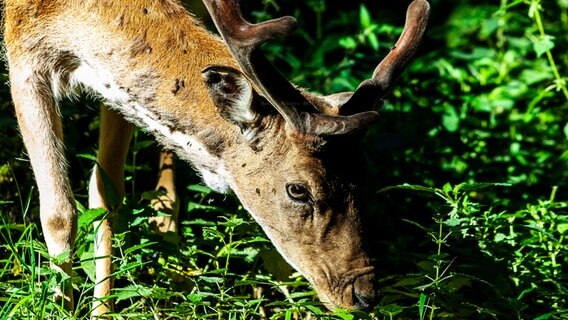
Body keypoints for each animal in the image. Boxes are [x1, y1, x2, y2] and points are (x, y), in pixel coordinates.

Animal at [3, 0, 430, 316]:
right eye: (297, 189)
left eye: (364, 173)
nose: (364, 295)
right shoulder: (22, 50)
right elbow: (59, 213)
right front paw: (61, 307)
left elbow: (107, 196)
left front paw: (102, 310)